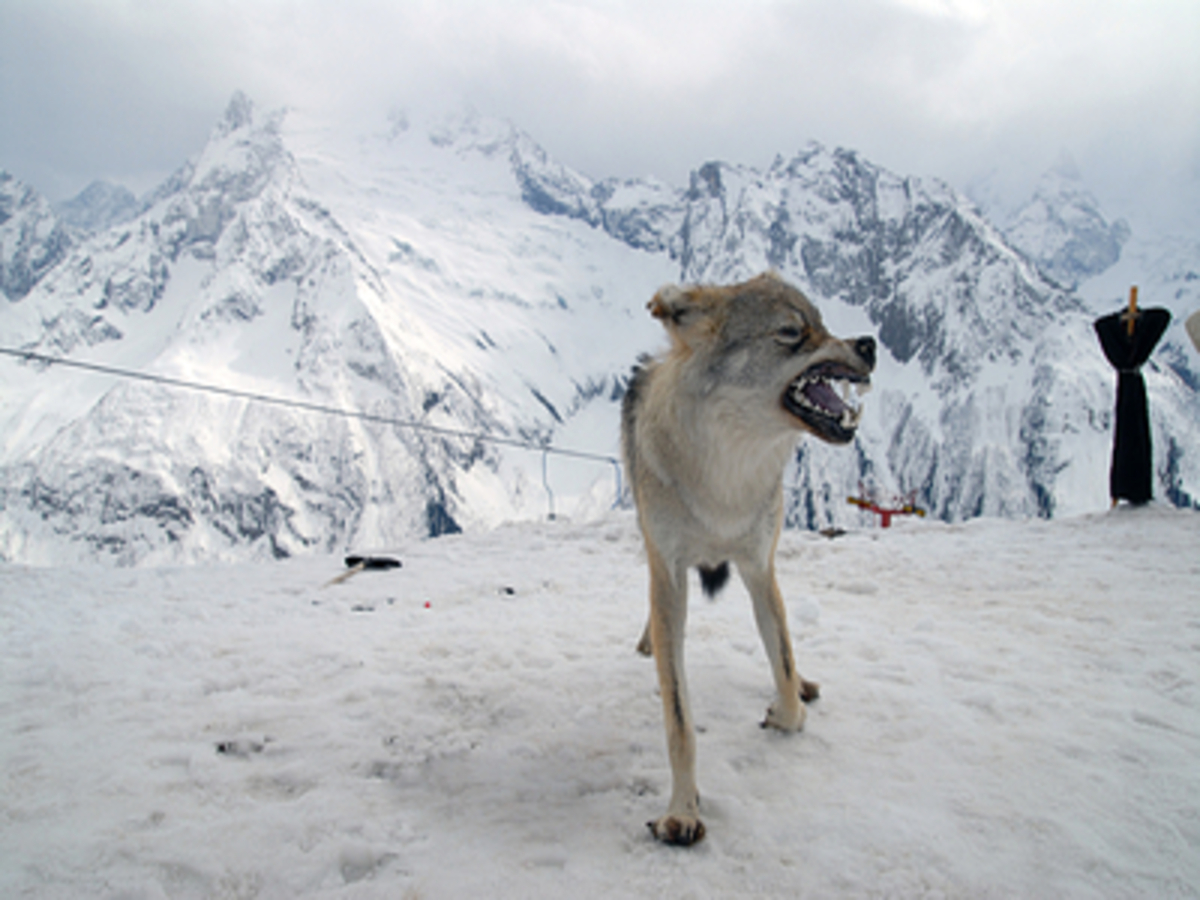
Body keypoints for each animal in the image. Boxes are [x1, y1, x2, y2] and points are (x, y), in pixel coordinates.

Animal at [624, 273, 878, 844]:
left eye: (823, 323)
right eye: (791, 332)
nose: (870, 344)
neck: (725, 475)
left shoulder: (761, 567)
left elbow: (782, 658)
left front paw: (787, 711)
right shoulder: (669, 574)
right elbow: (679, 718)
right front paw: (682, 812)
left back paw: (805, 685)